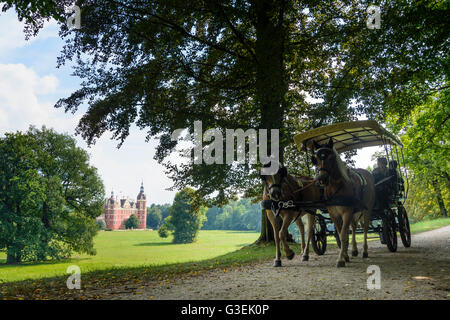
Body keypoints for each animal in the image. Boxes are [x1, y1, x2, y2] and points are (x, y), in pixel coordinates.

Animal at [312, 138, 374, 268]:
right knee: (354, 227)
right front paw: (345, 256)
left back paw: (365, 251)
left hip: (367, 209)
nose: (322, 178)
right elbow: (341, 235)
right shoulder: (334, 215)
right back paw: (354, 250)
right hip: (355, 212)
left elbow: (343, 235)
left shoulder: (346, 212)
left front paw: (341, 259)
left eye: (331, 157)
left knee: (365, 229)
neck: (337, 187)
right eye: (316, 158)